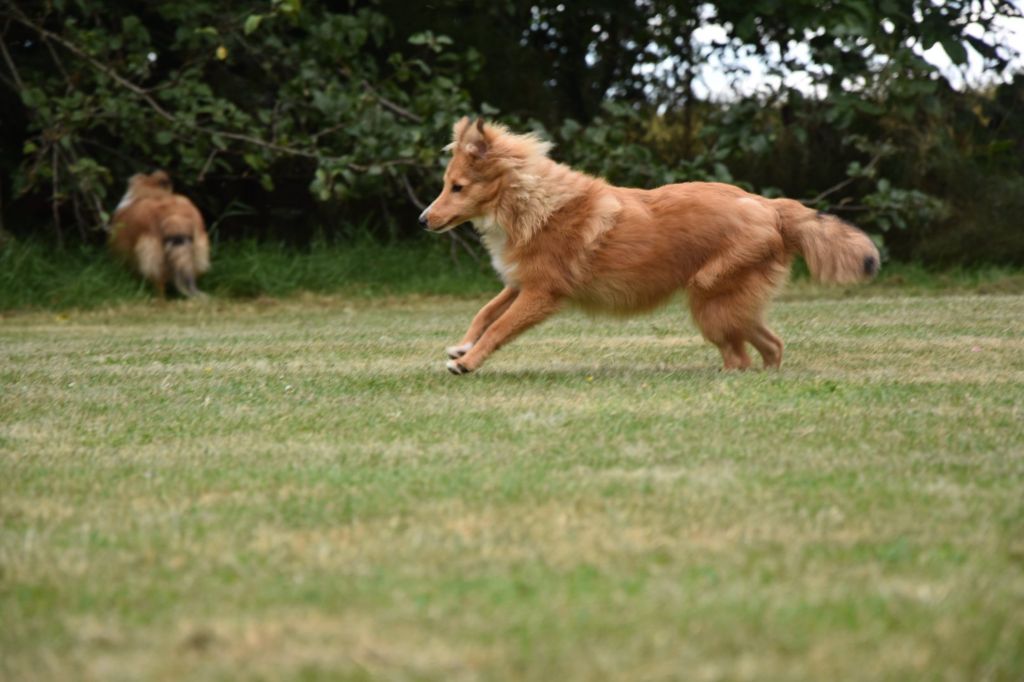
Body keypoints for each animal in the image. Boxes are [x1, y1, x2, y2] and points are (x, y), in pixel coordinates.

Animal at [417, 116, 880, 372]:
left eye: (457, 187)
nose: (423, 219)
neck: (532, 200)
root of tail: (770, 207)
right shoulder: (520, 284)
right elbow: (484, 313)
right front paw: (462, 346)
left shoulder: (541, 293)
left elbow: (499, 328)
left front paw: (468, 363)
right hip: (727, 305)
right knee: (767, 346)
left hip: (711, 301)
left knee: (745, 354)